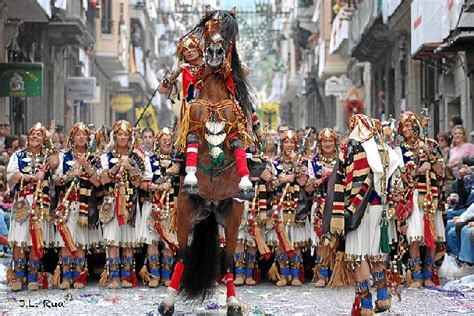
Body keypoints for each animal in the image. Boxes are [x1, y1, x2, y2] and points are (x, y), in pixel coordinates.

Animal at [158, 8, 256, 314]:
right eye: (210, 27)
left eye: (229, 33)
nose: (213, 52)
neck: (213, 96)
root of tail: (211, 206)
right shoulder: (193, 126)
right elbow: (191, 141)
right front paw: (190, 177)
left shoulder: (235, 130)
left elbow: (238, 145)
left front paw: (246, 182)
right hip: (186, 212)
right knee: (181, 255)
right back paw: (167, 301)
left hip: (232, 216)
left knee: (228, 259)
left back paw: (233, 302)